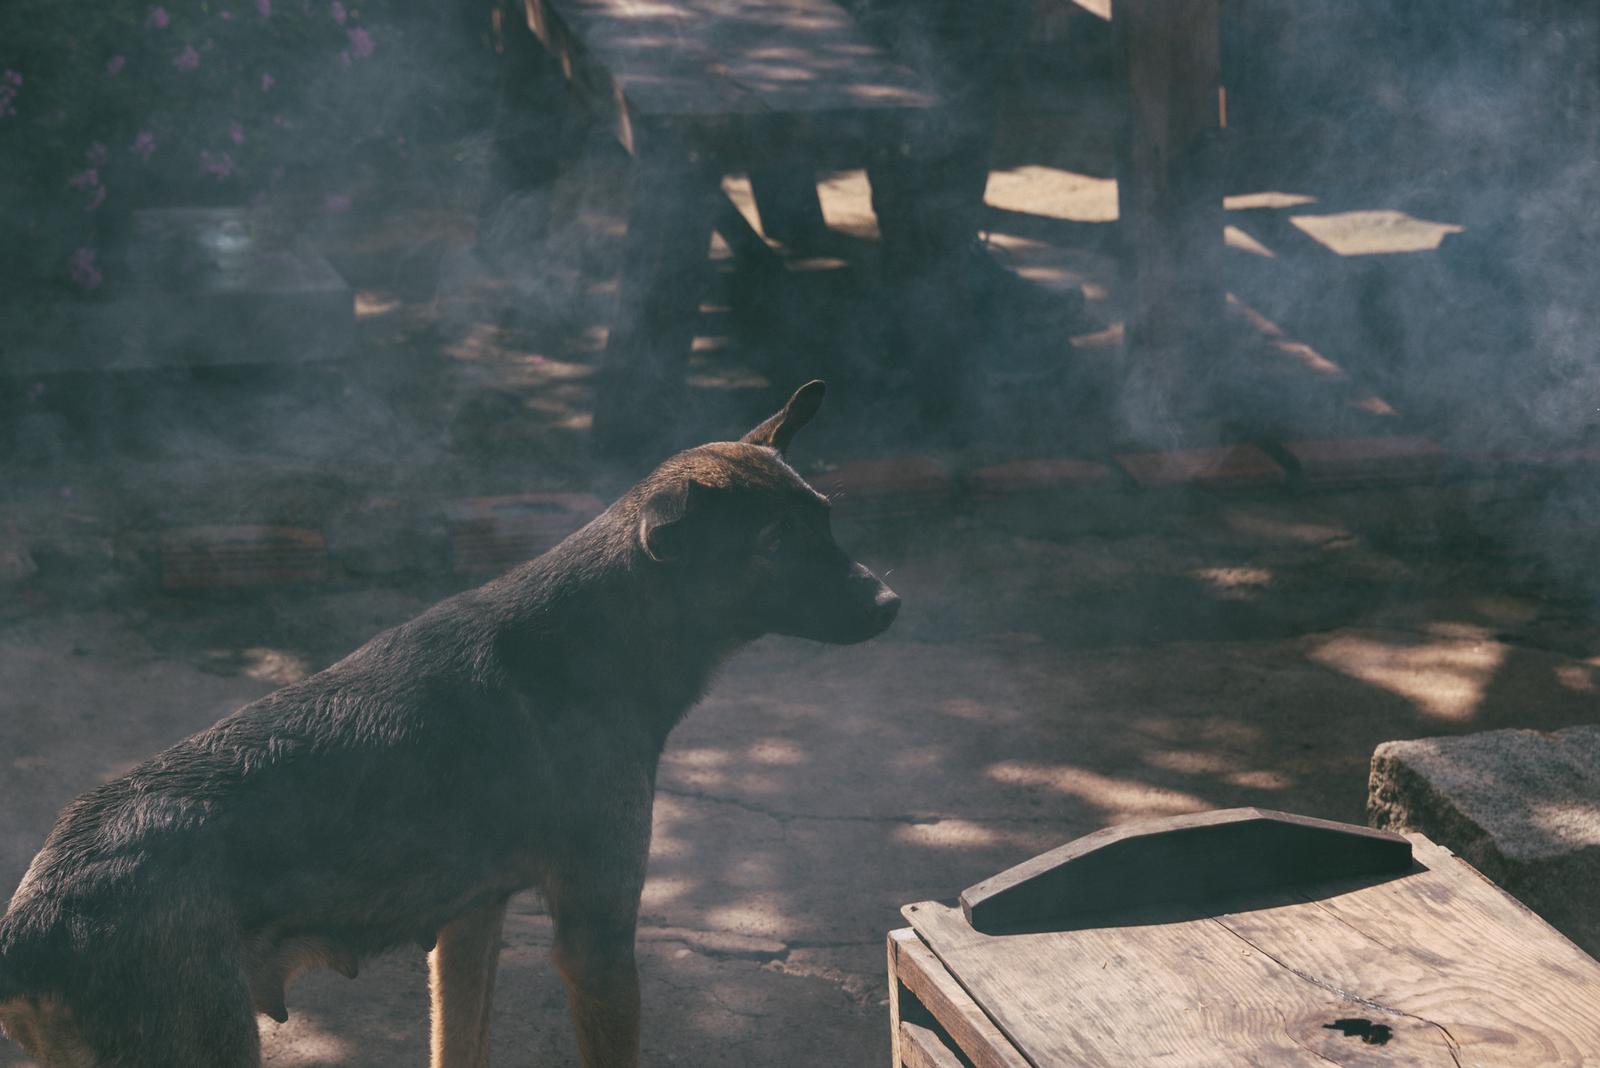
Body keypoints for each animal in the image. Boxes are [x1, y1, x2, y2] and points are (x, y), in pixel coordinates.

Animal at [0, 383, 902, 1068]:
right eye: (775, 542)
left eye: (825, 517)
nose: (891, 604)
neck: (598, 634)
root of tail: (32, 920)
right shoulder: (597, 937)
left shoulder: (469, 926)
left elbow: (459, 1042)